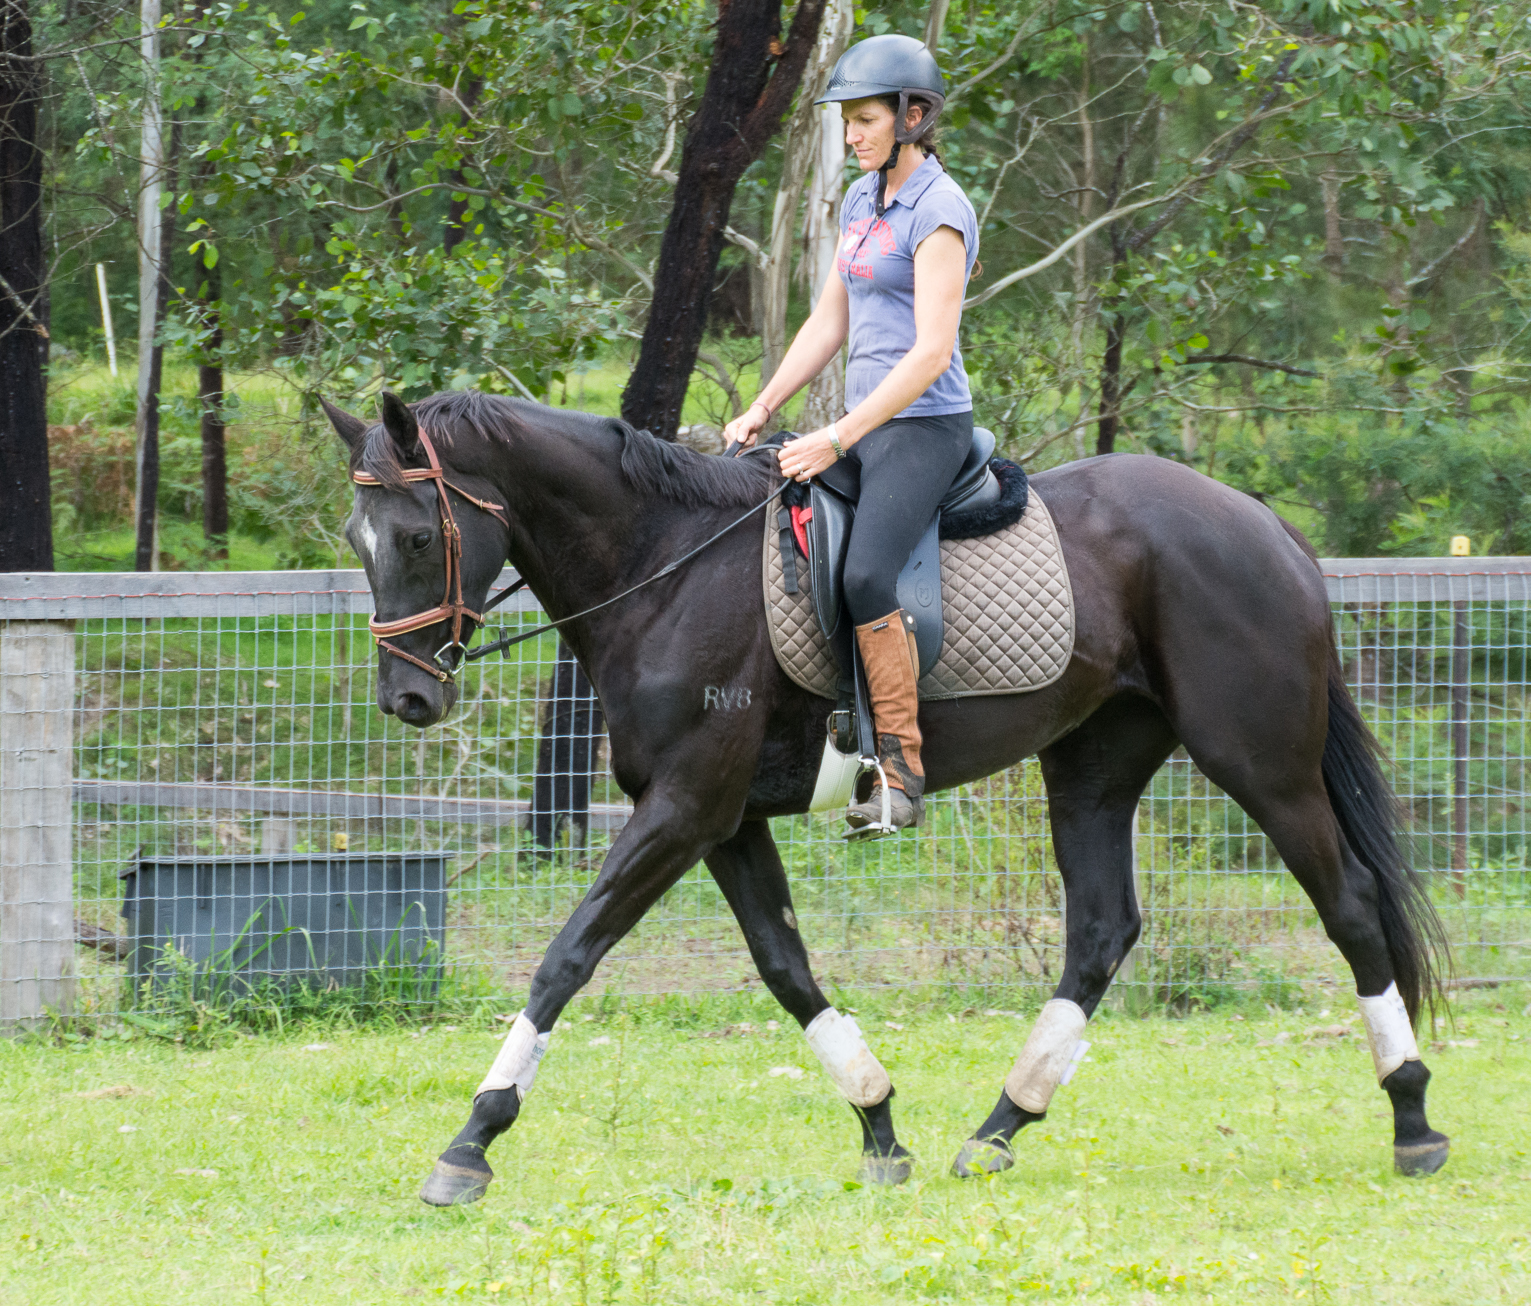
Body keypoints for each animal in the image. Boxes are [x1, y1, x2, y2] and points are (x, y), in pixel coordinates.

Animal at [321, 387, 1450, 1205]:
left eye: (416, 536)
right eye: (355, 538)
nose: (408, 699)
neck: (665, 568)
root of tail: (1257, 519)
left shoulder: (683, 808)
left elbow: (567, 956)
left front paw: (471, 1140)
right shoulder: (722, 821)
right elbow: (786, 970)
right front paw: (879, 1126)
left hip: (1259, 761)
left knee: (1349, 907)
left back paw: (1411, 1120)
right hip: (1092, 764)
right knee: (1100, 930)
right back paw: (997, 1128)